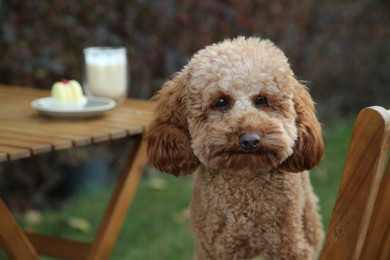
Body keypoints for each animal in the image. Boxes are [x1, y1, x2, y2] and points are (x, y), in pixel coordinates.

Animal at [146, 37, 322, 260]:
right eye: (221, 101)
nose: (250, 140)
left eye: (262, 99)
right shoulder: (215, 247)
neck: (244, 188)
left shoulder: (288, 245)